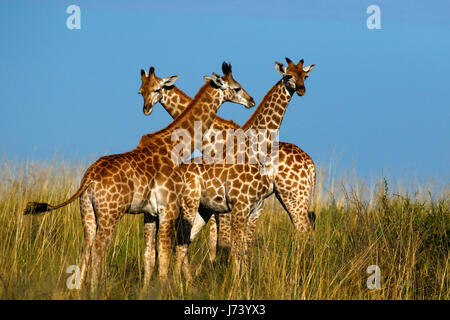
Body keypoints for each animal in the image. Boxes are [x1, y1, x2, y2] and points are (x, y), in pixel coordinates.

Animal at [24, 62, 255, 292]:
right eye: (237, 87)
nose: (251, 101)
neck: (175, 147)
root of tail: (88, 178)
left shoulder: (150, 213)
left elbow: (149, 255)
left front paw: (146, 290)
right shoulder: (168, 208)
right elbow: (164, 253)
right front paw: (164, 290)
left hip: (87, 211)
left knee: (86, 247)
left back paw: (81, 291)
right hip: (111, 213)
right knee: (99, 248)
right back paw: (96, 289)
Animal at [141, 57, 316, 262]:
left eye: (305, 76)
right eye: (141, 91)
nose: (146, 109)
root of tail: (311, 165)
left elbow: (223, 239)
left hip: (293, 195)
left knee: (303, 231)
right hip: (291, 196)